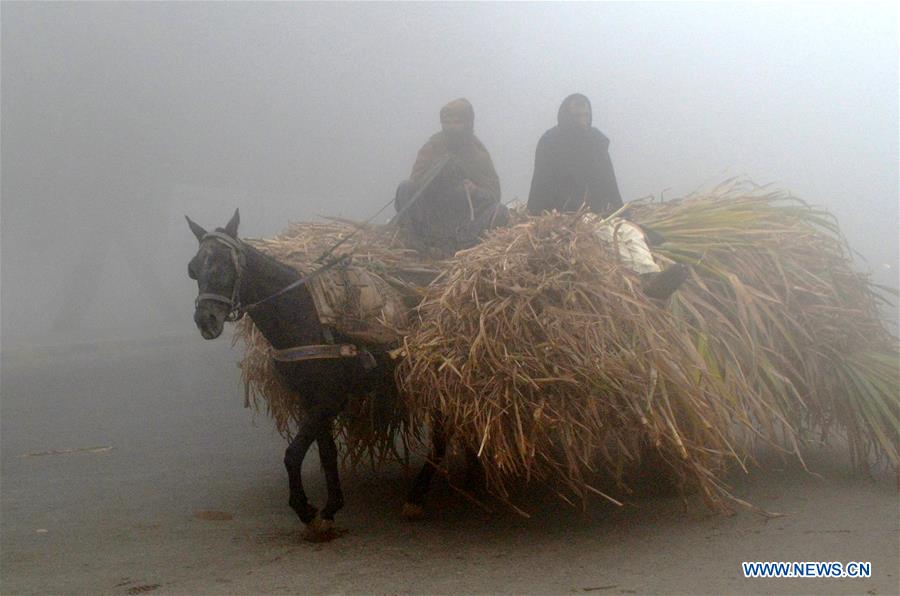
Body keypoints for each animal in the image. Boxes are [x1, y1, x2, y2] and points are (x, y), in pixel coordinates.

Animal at [185, 211, 450, 540]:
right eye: (193, 269)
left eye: (226, 265)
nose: (205, 320)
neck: (302, 314)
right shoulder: (310, 399)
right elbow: (326, 452)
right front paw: (330, 509)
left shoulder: (330, 399)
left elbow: (293, 453)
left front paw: (306, 510)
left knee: (442, 434)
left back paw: (416, 496)